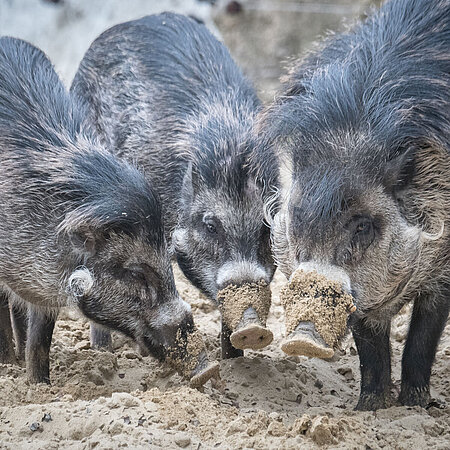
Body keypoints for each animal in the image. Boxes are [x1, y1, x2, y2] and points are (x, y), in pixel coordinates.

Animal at [0, 37, 207, 384]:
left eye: (169, 260)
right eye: (135, 272)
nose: (206, 370)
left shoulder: (44, 290)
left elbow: (40, 341)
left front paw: (40, 384)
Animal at [260, 0, 450, 410]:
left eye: (362, 224)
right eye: (297, 217)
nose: (302, 339)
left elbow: (423, 337)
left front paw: (416, 405)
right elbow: (370, 347)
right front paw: (369, 408)